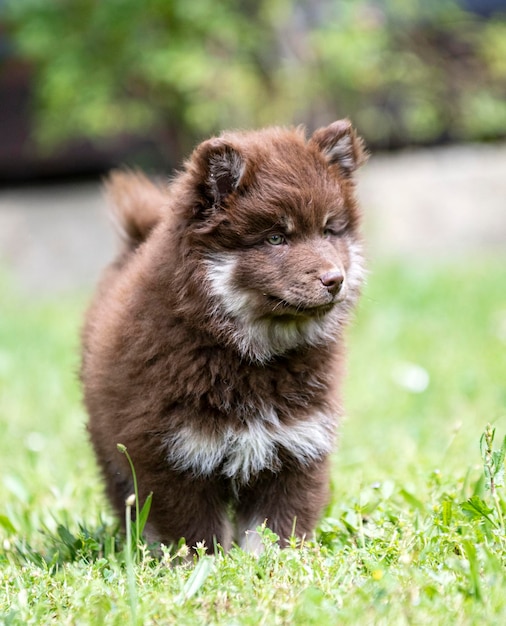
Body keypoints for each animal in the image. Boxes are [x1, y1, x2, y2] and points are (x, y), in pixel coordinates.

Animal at [82, 120, 368, 552]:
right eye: (275, 238)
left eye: (329, 230)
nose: (335, 279)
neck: (251, 353)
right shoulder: (172, 452)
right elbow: (195, 531)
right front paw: (205, 562)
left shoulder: (297, 445)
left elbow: (276, 526)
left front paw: (269, 562)